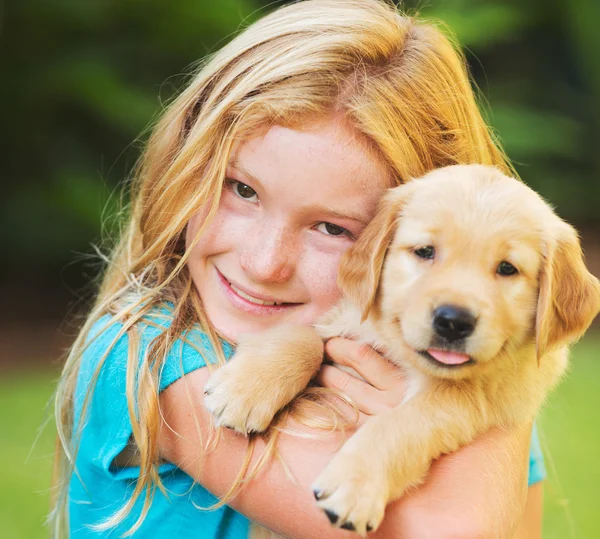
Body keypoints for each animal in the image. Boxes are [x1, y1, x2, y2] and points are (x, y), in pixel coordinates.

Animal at [203, 165, 600, 536]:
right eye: (425, 252)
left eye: (507, 269)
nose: (453, 321)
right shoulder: (346, 317)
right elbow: (308, 337)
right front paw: (246, 389)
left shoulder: (482, 397)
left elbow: (401, 424)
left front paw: (355, 485)